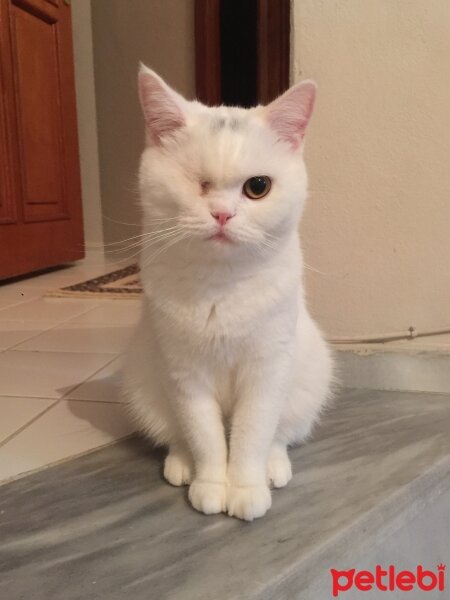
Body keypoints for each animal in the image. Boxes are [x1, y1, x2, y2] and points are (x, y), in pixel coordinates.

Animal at [124, 64, 334, 520]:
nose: (222, 214)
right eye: (197, 184)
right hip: (144, 384)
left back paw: (274, 467)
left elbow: (252, 434)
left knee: (280, 434)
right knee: (177, 435)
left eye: (258, 187)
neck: (220, 287)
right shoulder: (185, 374)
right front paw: (209, 485)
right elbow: (205, 437)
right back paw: (181, 464)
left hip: (308, 379)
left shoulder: (266, 370)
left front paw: (246, 488)